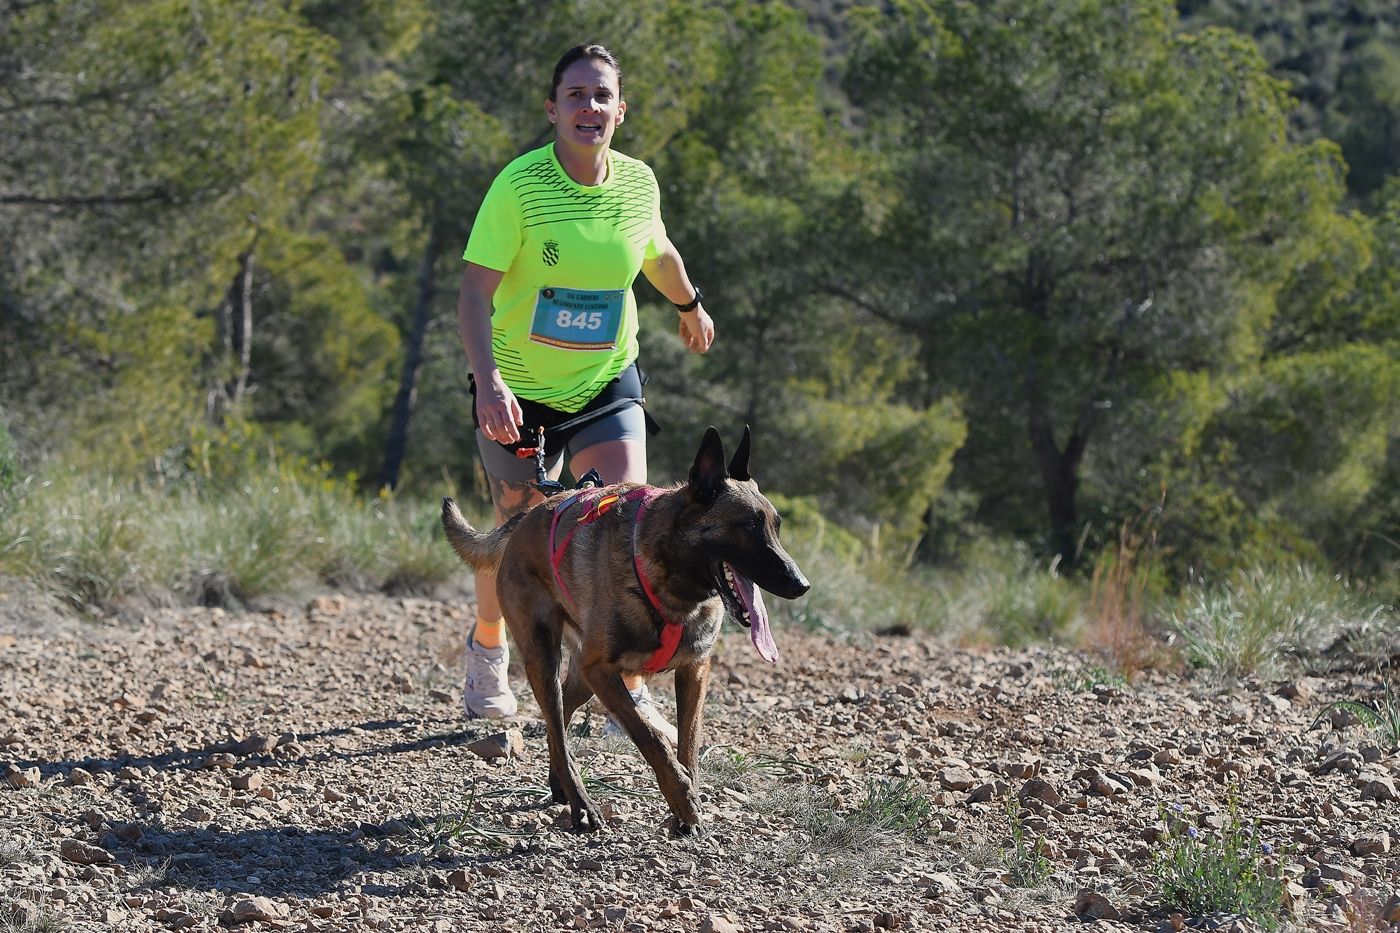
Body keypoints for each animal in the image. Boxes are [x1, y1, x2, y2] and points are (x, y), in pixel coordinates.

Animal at [436, 425, 812, 829]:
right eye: (749, 526)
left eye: (775, 526)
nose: (801, 584)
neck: (672, 585)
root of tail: (527, 515)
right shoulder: (603, 672)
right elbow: (650, 736)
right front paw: (681, 797)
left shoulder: (693, 672)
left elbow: (689, 741)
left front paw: (687, 799)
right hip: (546, 659)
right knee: (556, 723)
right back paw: (581, 802)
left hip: (581, 678)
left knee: (560, 721)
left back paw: (560, 783)